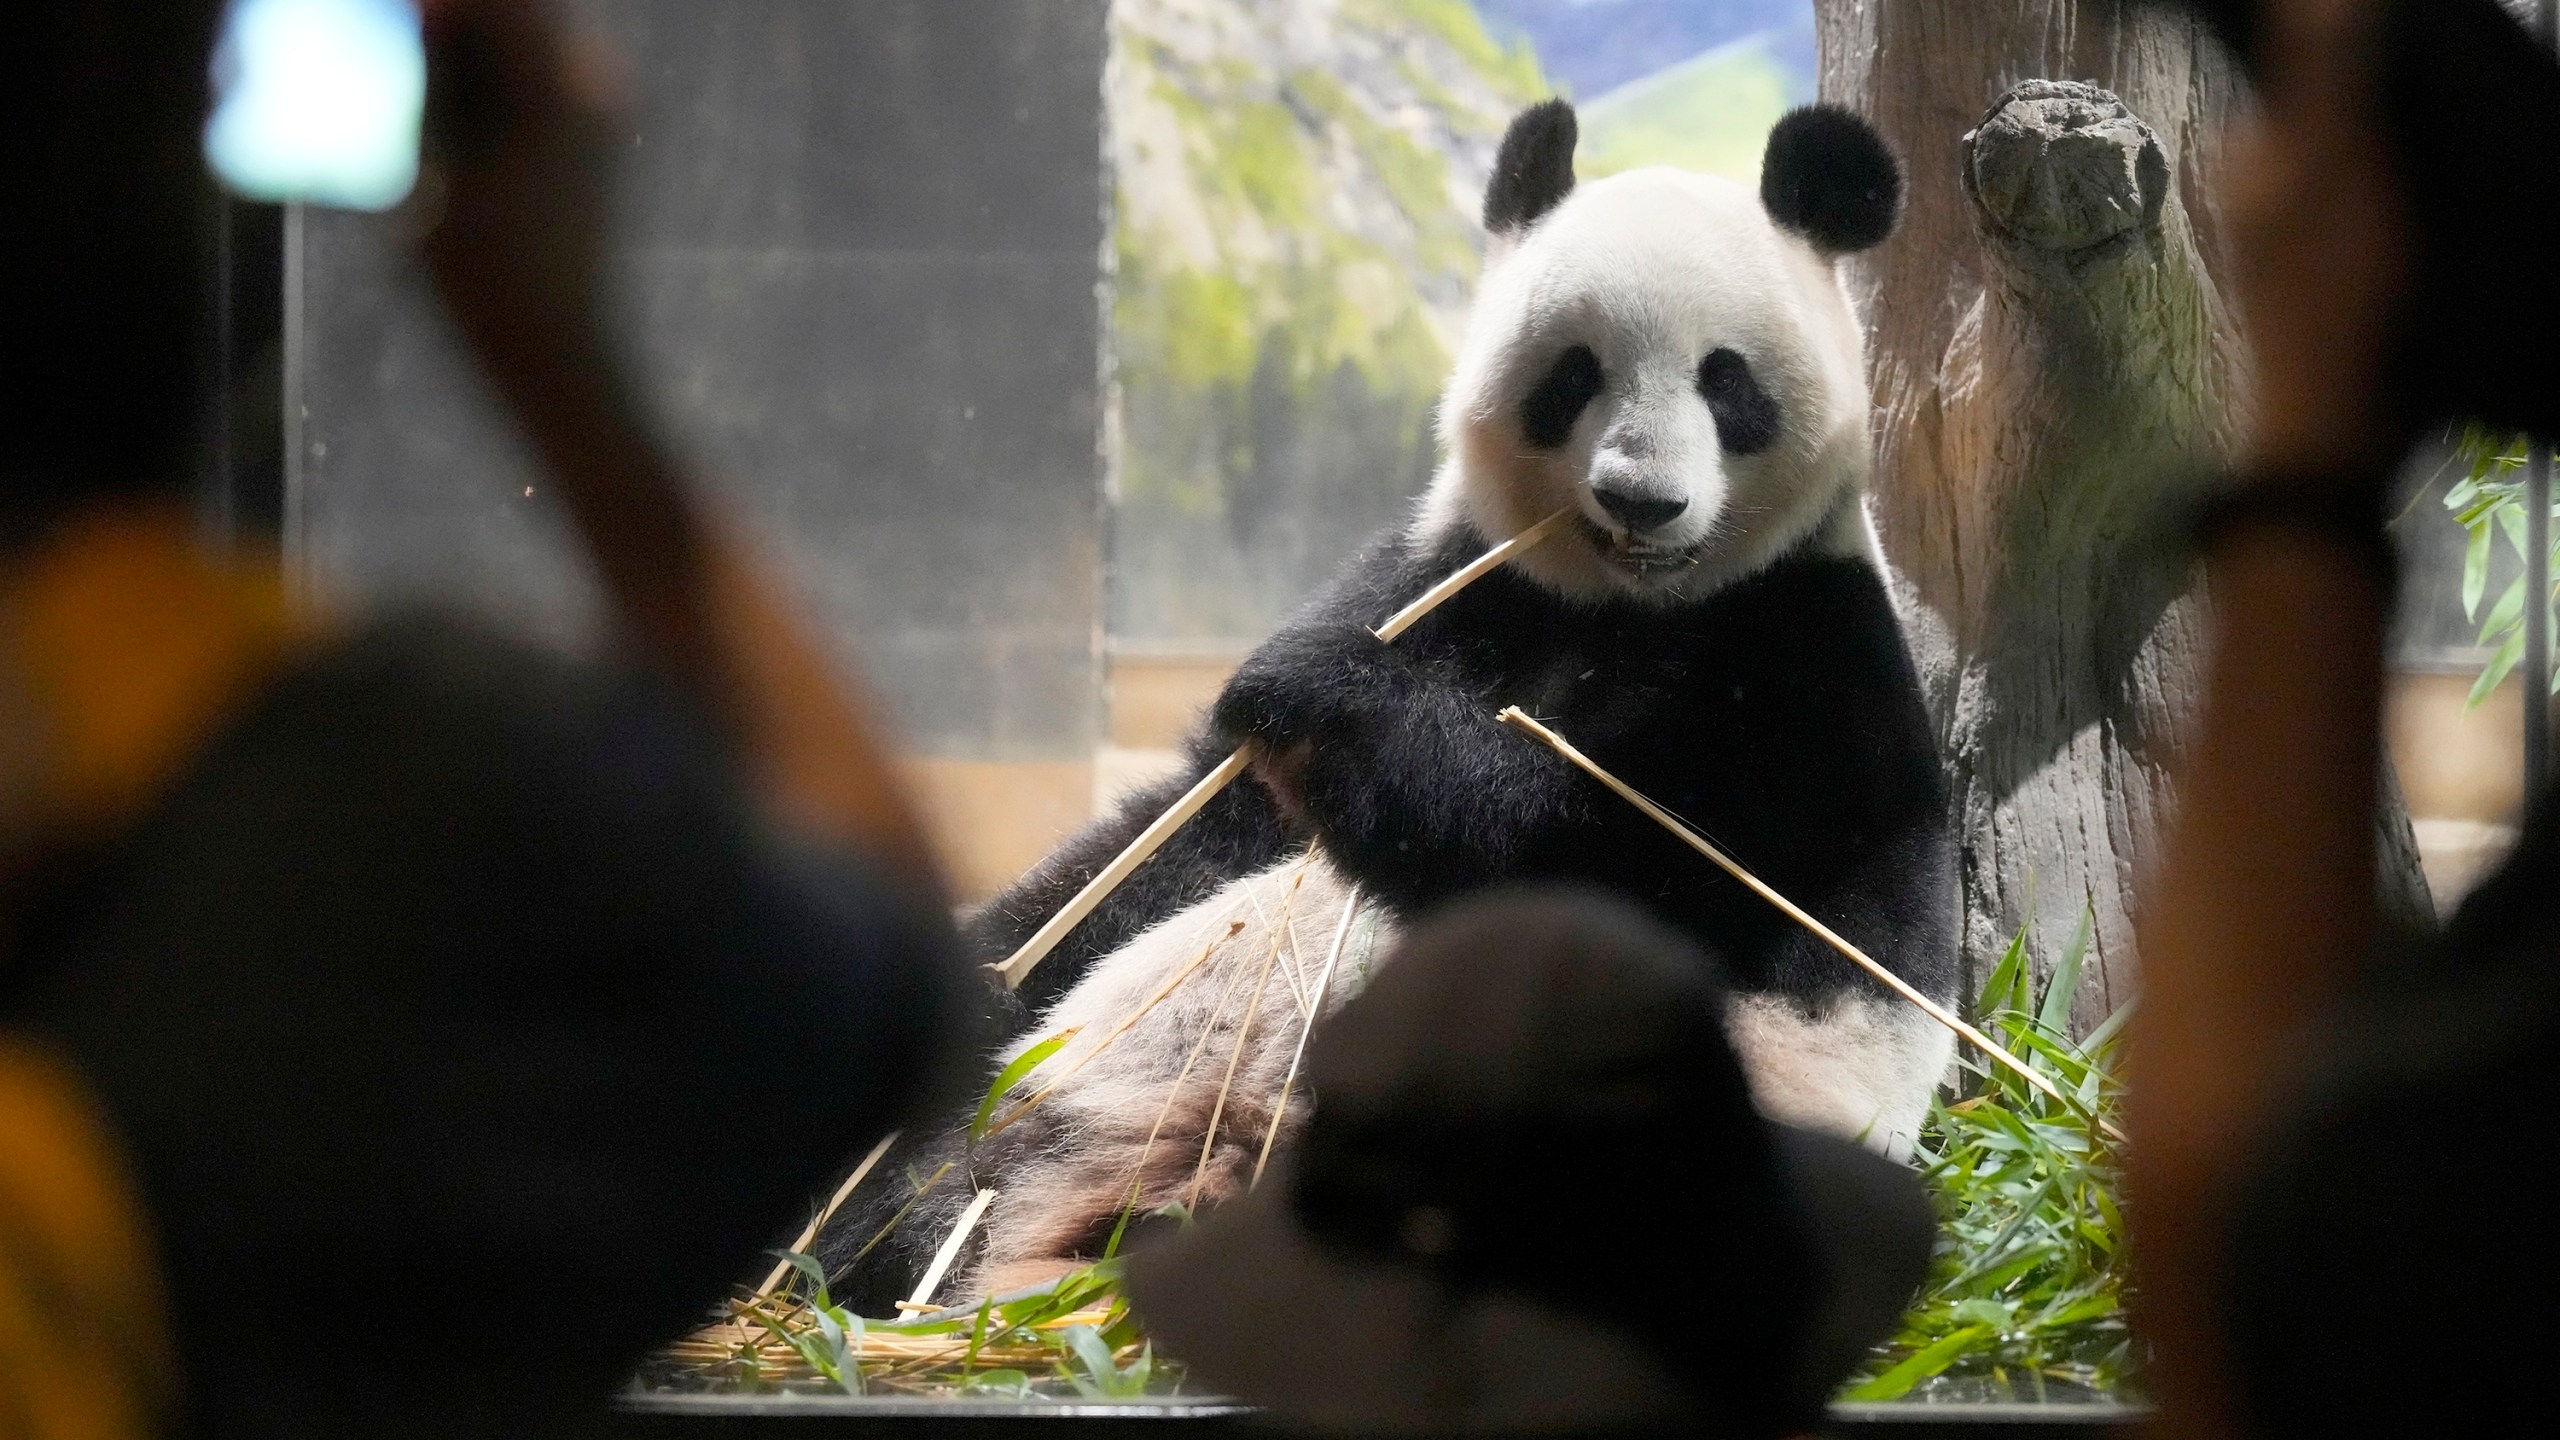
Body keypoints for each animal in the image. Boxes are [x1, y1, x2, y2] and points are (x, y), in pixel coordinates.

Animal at [819, 98, 1955, 1311]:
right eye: (1576, 374)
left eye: (1726, 382)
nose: (1639, 499)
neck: (1625, 606)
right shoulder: (1447, 577)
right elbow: (1174, 842)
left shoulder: (1804, 669)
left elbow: (1617, 864)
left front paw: (1324, 696)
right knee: (966, 1140)